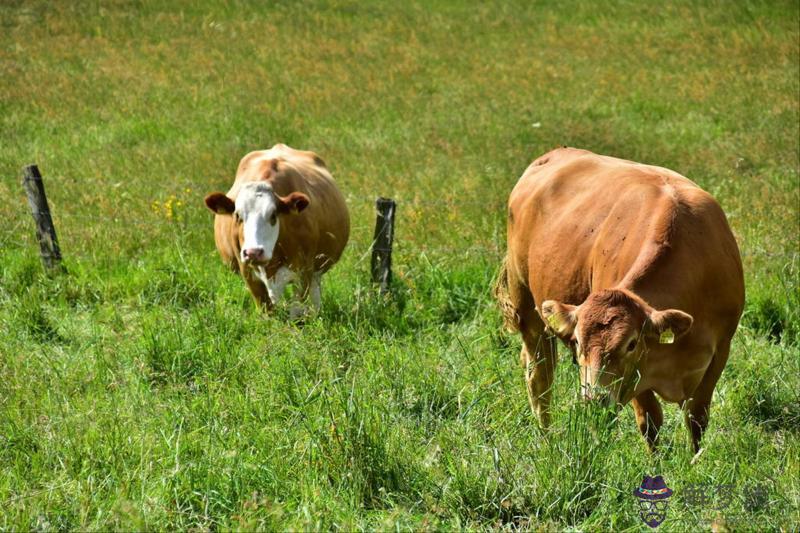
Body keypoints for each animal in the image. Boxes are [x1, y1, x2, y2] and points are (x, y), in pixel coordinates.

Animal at [205, 143, 348, 314]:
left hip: (316, 270)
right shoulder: (249, 275)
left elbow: (297, 311)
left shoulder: (304, 273)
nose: (253, 252)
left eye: (273, 215)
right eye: (238, 215)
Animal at [496, 145, 748, 448]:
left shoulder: (721, 348)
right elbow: (650, 422)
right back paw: (546, 438)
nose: (594, 398)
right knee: (540, 378)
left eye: (631, 343)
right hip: (526, 306)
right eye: (577, 341)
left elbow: (696, 419)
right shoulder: (636, 375)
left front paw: (694, 457)